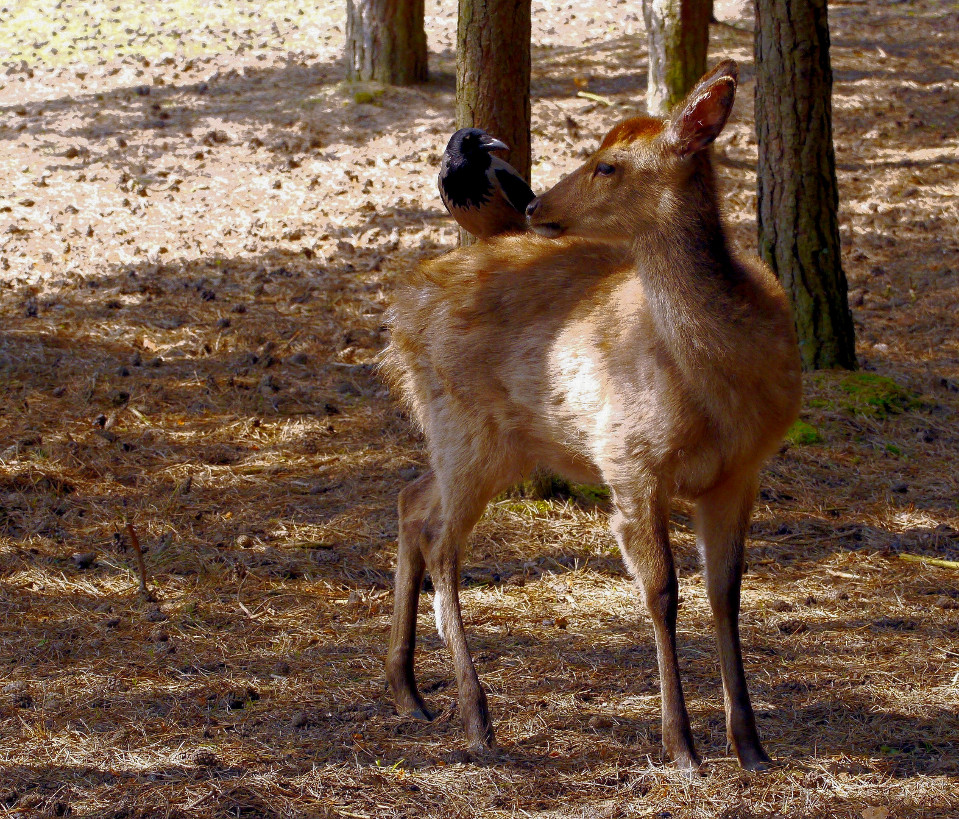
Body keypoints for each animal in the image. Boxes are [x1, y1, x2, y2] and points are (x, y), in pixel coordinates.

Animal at [380, 60, 804, 772]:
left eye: (608, 164)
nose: (532, 205)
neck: (713, 386)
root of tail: (401, 307)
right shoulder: (629, 461)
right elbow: (662, 593)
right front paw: (681, 747)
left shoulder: (739, 473)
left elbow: (727, 594)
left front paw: (751, 746)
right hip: (464, 429)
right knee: (442, 541)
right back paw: (476, 716)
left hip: (490, 443)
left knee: (412, 498)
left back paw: (408, 691)